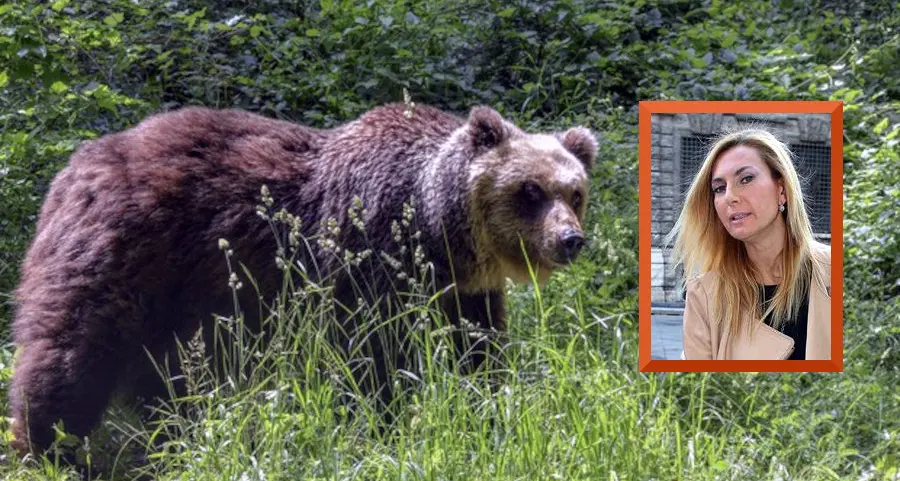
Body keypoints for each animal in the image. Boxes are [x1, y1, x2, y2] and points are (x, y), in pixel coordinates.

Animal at [8, 102, 596, 455]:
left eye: (575, 192)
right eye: (529, 190)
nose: (570, 239)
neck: (436, 231)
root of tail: (73, 168)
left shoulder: (463, 293)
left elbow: (477, 351)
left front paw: (488, 409)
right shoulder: (367, 260)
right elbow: (373, 360)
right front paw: (385, 426)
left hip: (180, 299)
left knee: (169, 377)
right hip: (122, 257)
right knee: (73, 352)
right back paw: (46, 446)